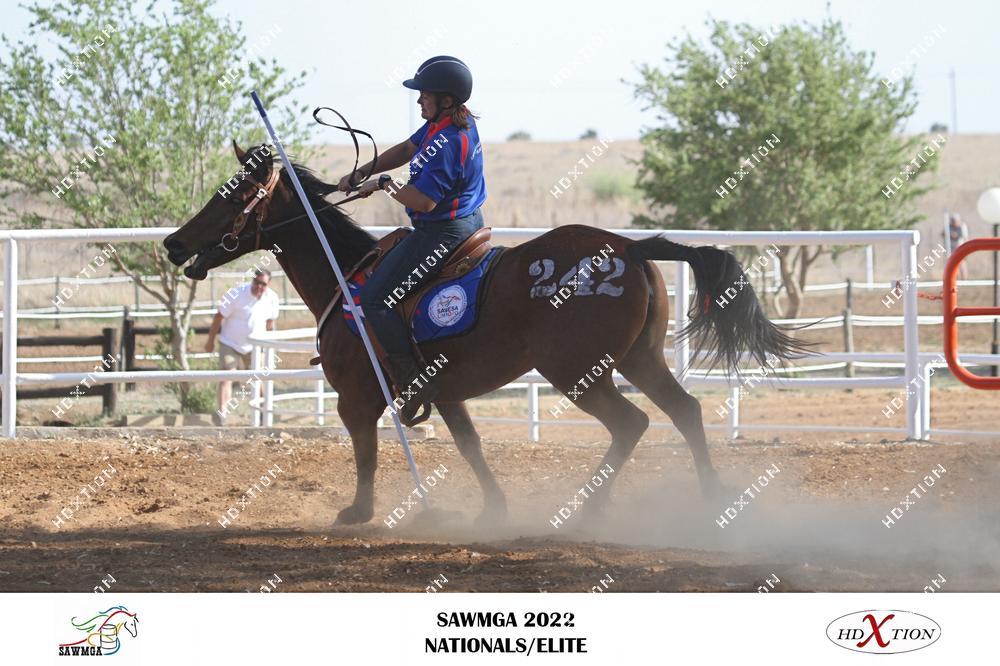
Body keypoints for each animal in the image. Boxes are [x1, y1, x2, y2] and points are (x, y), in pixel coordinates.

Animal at [164, 142, 808, 526]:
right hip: (639, 360)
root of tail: (627, 249)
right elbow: (471, 448)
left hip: (578, 372)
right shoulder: (444, 393)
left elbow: (367, 452)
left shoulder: (356, 397)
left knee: (633, 424)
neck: (347, 277)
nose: (172, 243)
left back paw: (587, 510)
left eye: (229, 194)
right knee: (685, 412)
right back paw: (711, 502)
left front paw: (359, 511)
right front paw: (492, 510)